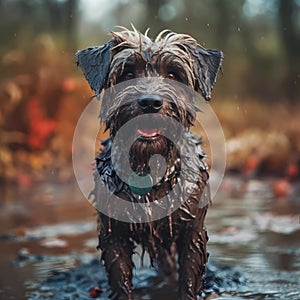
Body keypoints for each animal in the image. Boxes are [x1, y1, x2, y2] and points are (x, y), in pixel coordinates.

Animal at [77, 27, 223, 298]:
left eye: (173, 74)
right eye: (127, 73)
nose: (150, 102)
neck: (149, 168)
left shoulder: (192, 231)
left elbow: (189, 278)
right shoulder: (114, 235)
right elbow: (120, 280)